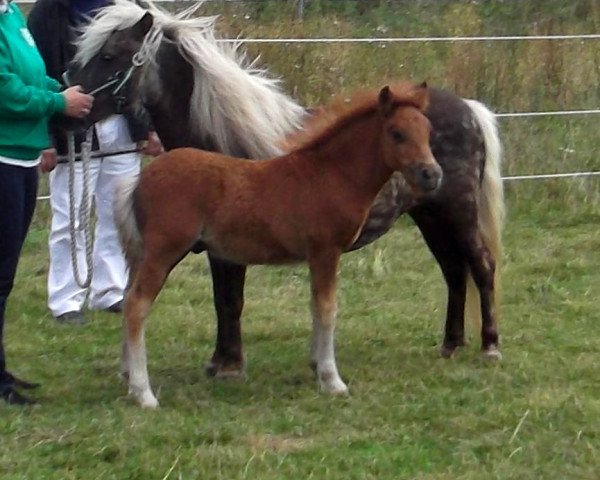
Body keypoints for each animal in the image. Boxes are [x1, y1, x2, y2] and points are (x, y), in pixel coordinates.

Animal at [116, 84, 440, 406]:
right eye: (396, 133)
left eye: (428, 131)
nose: (432, 175)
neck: (331, 175)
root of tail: (141, 180)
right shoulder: (326, 251)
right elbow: (327, 309)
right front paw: (332, 380)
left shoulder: (316, 257)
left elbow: (315, 306)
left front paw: (317, 367)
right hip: (163, 253)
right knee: (137, 306)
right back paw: (144, 394)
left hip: (142, 254)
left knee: (128, 298)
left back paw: (128, 377)